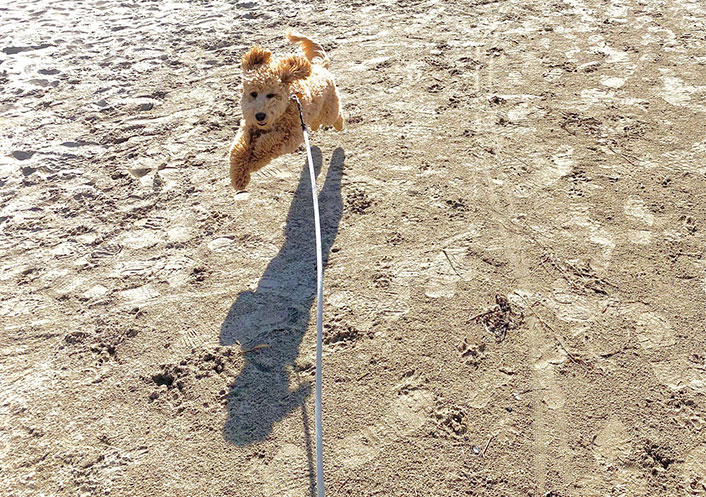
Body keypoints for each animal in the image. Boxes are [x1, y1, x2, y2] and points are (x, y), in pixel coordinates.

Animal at [228, 31, 344, 190]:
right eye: (253, 93)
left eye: (271, 95)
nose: (260, 116)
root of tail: (321, 67)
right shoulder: (248, 126)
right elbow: (239, 148)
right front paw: (239, 176)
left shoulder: (291, 135)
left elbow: (267, 144)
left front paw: (254, 159)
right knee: (316, 118)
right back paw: (314, 125)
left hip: (329, 110)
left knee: (336, 115)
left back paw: (339, 125)